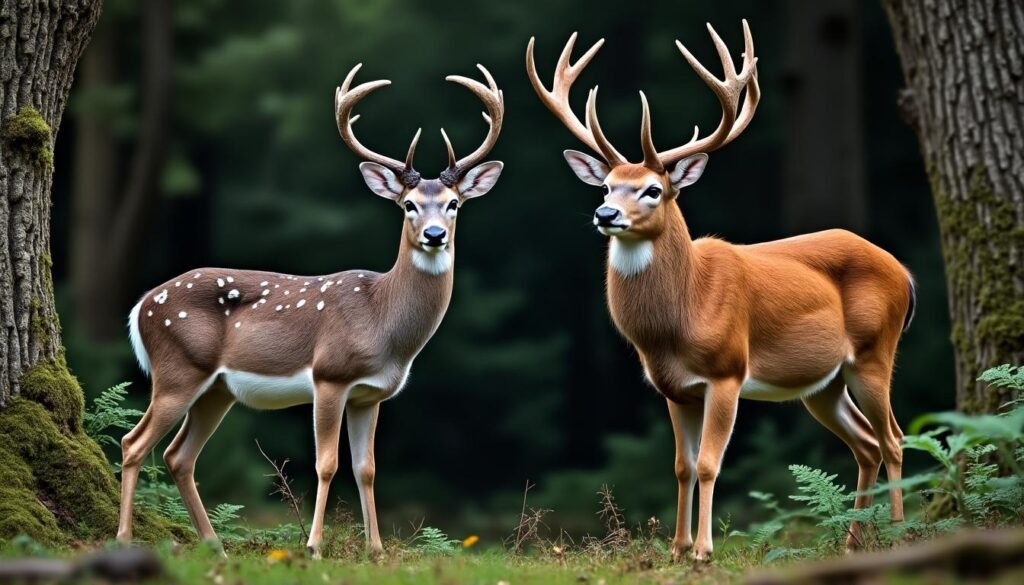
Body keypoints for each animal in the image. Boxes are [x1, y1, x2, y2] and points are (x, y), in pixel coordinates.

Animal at [118, 63, 505, 558]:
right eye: (408, 205)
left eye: (454, 204)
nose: (434, 234)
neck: (383, 323)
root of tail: (141, 306)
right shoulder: (329, 376)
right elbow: (326, 464)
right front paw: (314, 547)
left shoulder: (370, 395)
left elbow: (366, 468)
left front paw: (376, 551)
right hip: (177, 369)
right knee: (134, 442)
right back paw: (124, 538)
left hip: (217, 388)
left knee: (178, 455)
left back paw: (215, 545)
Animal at [527, 20, 915, 562]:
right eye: (605, 187)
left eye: (652, 189)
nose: (606, 214)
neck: (680, 316)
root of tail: (903, 272)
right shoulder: (674, 388)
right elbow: (682, 466)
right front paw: (676, 549)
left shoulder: (727, 370)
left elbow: (711, 463)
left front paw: (704, 551)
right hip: (823, 382)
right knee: (867, 443)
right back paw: (852, 544)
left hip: (875, 351)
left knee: (895, 438)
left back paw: (899, 535)